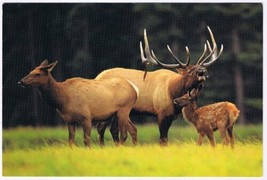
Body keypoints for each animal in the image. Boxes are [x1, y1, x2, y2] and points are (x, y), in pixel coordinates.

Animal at [96, 26, 224, 146]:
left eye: (199, 67)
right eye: (189, 71)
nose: (202, 71)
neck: (172, 92)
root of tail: (98, 76)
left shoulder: (171, 116)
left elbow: (165, 139)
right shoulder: (161, 113)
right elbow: (163, 139)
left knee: (112, 129)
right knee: (101, 127)